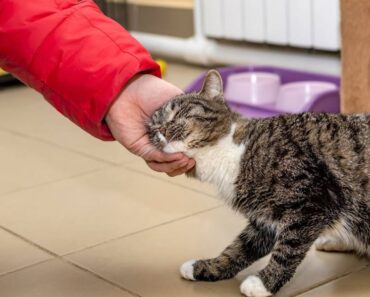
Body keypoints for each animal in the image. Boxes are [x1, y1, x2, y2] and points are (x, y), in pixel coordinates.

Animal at [146, 70, 368, 296]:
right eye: (152, 127)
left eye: (179, 113)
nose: (160, 129)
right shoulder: (266, 219)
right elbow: (240, 248)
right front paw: (205, 267)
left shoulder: (312, 203)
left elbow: (288, 249)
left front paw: (264, 283)